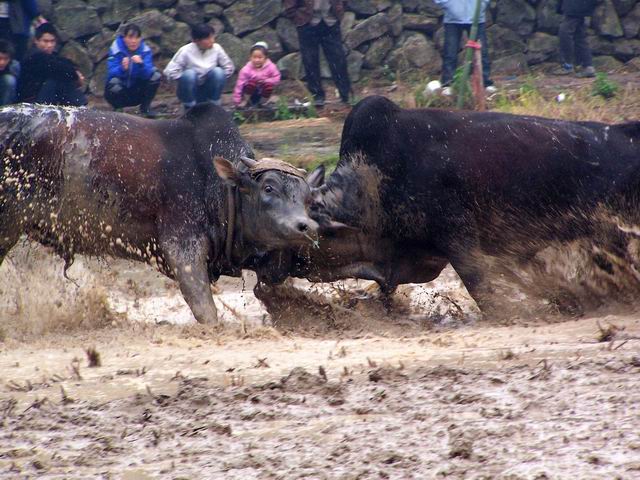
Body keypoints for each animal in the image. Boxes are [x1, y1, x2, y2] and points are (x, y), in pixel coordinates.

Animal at [0, 103, 320, 324]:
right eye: (269, 188)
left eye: (307, 198)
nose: (306, 227)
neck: (215, 184)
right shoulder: (182, 245)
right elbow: (205, 309)